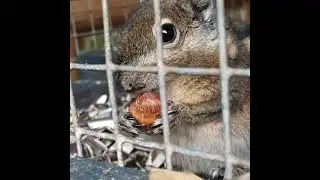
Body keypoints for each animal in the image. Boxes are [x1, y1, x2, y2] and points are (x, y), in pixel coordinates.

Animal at [115, 0, 250, 178]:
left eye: (167, 33)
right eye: (122, 34)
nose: (126, 85)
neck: (173, 83)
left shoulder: (234, 86)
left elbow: (211, 107)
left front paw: (179, 113)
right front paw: (122, 117)